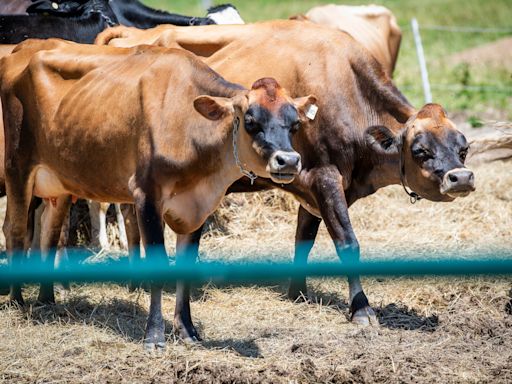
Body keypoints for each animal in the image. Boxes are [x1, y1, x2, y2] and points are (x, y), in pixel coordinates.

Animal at [0, 37, 316, 350]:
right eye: (250, 121)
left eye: (295, 124)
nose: (288, 161)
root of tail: (24, 47)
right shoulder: (146, 195)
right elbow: (158, 265)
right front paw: (154, 336)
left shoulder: (197, 207)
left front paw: (187, 331)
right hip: (18, 167)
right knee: (15, 229)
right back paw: (17, 300)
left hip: (59, 183)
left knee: (50, 235)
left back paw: (47, 298)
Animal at [98, 21, 478, 342]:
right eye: (420, 150)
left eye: (463, 148)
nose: (460, 177)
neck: (343, 87)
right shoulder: (326, 176)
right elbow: (347, 243)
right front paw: (362, 310)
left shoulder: (314, 184)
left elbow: (303, 239)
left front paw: (298, 292)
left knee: (130, 216)